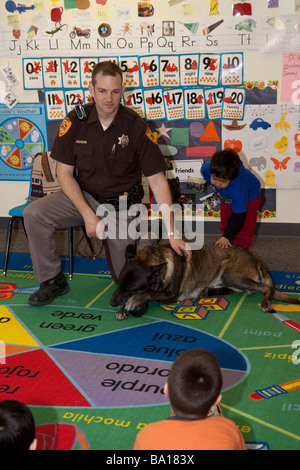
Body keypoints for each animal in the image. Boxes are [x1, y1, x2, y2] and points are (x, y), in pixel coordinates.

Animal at [110, 242, 300, 320]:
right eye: (120, 282)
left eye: (133, 288)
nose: (111, 303)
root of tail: (256, 259)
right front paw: (122, 309)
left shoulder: (171, 295)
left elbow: (148, 293)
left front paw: (132, 302)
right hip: (227, 278)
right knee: (232, 289)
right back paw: (206, 291)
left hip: (231, 274)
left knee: (267, 288)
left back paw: (266, 302)